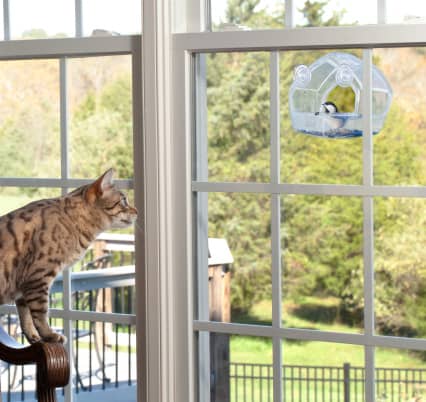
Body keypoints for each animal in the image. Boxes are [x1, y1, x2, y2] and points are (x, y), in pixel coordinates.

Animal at [0, 169, 137, 342]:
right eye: (124, 201)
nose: (137, 211)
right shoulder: (38, 277)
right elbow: (40, 312)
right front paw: (49, 335)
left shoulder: (24, 287)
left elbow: (25, 316)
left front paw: (34, 337)